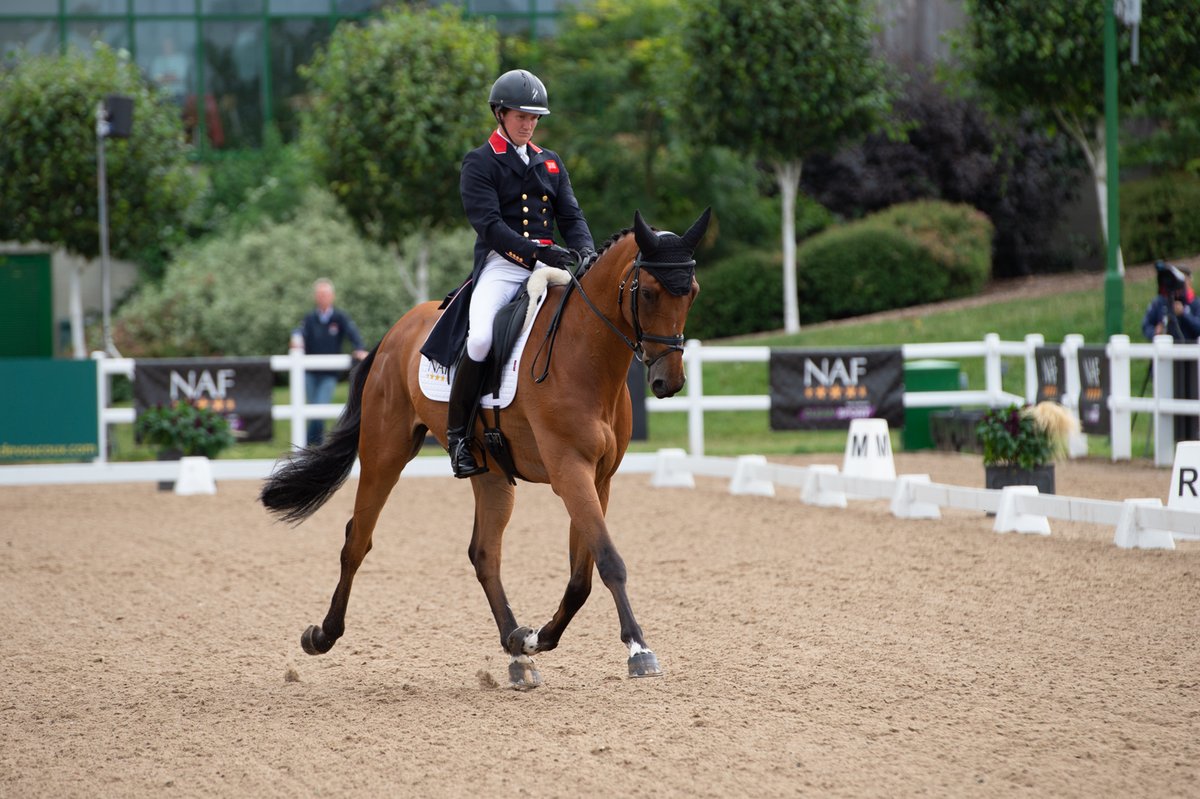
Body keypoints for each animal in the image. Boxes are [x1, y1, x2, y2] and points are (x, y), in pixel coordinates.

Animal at [260, 207, 711, 688]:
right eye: (649, 292)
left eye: (692, 293)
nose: (668, 382)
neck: (585, 354)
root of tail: (395, 333)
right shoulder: (570, 471)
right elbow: (609, 560)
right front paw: (639, 649)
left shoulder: (598, 478)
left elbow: (581, 577)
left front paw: (535, 639)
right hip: (385, 453)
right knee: (357, 541)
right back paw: (322, 635)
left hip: (492, 474)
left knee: (484, 554)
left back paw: (516, 650)